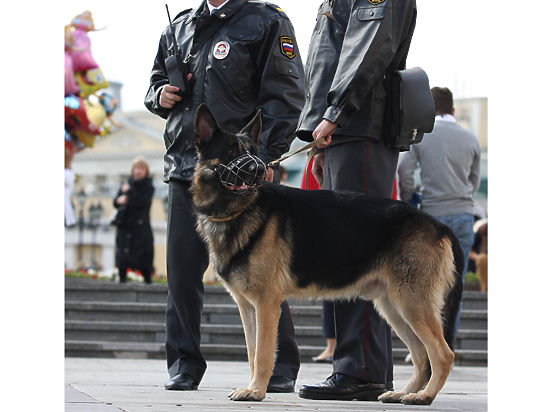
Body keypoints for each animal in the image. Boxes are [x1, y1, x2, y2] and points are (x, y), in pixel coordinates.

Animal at [192, 104, 464, 406]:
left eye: (252, 151)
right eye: (230, 151)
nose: (259, 169)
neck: (238, 210)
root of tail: (436, 224)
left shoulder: (266, 304)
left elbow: (262, 354)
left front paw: (256, 391)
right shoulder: (247, 307)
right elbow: (252, 352)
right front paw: (253, 387)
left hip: (412, 304)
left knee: (442, 353)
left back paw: (424, 396)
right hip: (394, 307)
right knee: (420, 353)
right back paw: (404, 392)